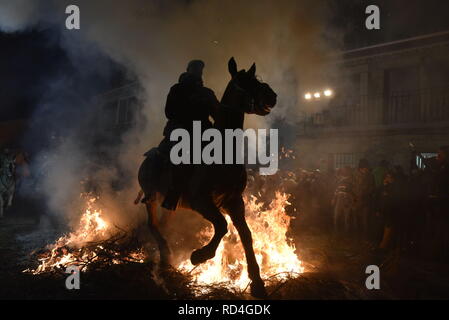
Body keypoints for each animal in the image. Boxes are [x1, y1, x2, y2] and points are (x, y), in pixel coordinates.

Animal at [136, 57, 276, 298]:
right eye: (244, 81)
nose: (272, 96)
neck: (222, 153)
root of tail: (148, 156)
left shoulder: (234, 202)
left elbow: (246, 236)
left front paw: (257, 282)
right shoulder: (202, 202)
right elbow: (221, 226)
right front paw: (199, 255)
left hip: (169, 203)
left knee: (163, 223)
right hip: (151, 197)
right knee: (152, 224)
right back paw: (166, 254)